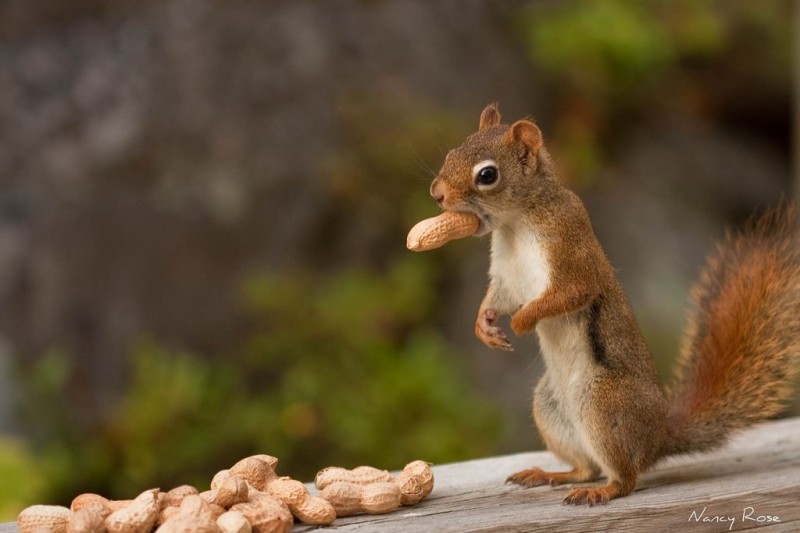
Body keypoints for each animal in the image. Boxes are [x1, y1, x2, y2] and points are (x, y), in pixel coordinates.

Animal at [428, 103, 800, 502]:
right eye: (452, 152)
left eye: (487, 175)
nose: (437, 194)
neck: (515, 223)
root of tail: (657, 439)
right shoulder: (506, 274)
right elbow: (499, 296)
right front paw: (483, 326)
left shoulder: (571, 253)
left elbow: (568, 294)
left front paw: (523, 321)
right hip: (550, 406)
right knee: (587, 468)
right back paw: (549, 474)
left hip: (603, 405)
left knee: (625, 478)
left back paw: (601, 492)